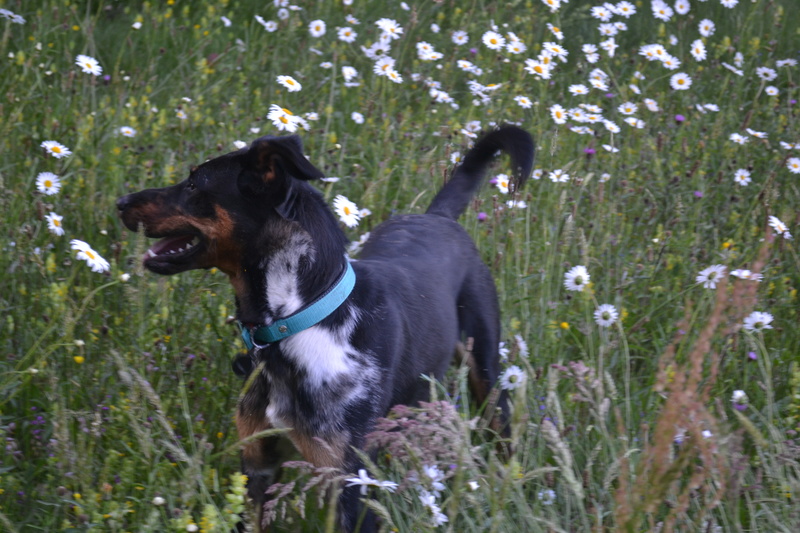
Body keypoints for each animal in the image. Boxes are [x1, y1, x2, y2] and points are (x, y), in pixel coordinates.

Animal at [115, 124, 536, 528]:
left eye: (193, 184)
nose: (119, 202)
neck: (296, 324)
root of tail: (438, 217)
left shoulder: (350, 487)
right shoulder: (258, 466)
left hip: (487, 374)